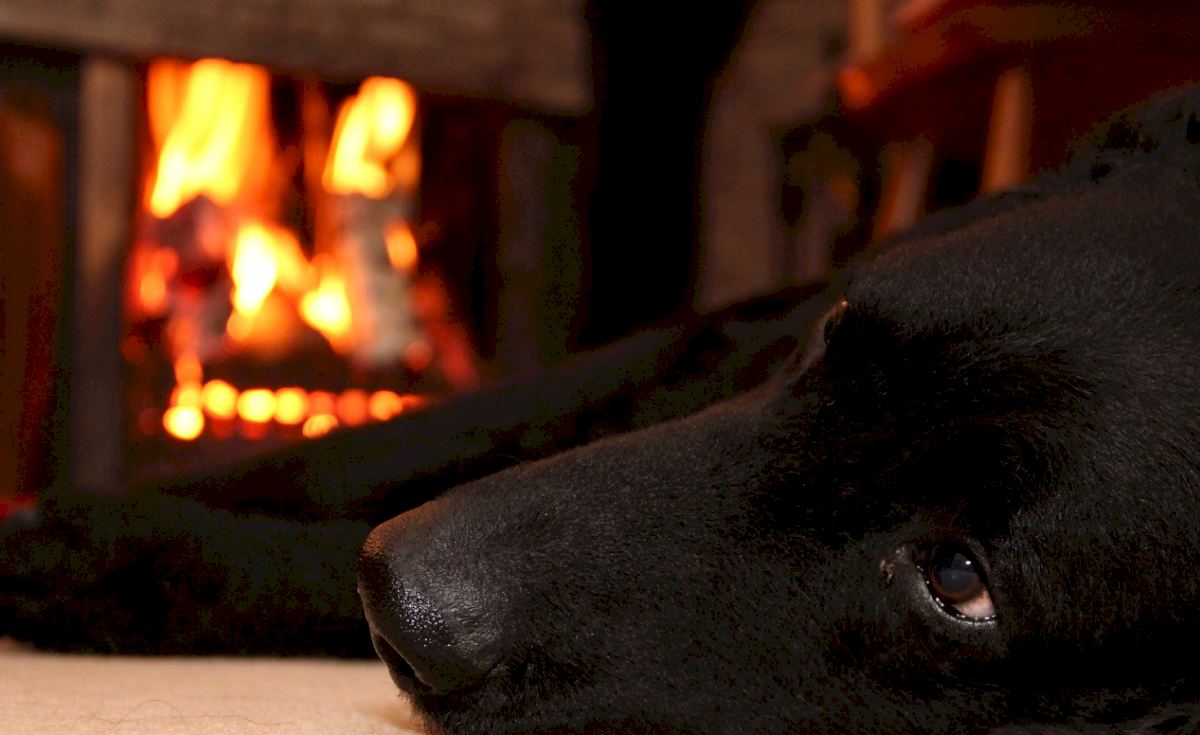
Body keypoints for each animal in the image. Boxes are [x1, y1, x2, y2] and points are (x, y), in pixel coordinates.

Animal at [2, 88, 1200, 730]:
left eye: (956, 578)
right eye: (833, 336)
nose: (399, 595)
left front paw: (118, 559)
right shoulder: (707, 340)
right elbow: (379, 443)